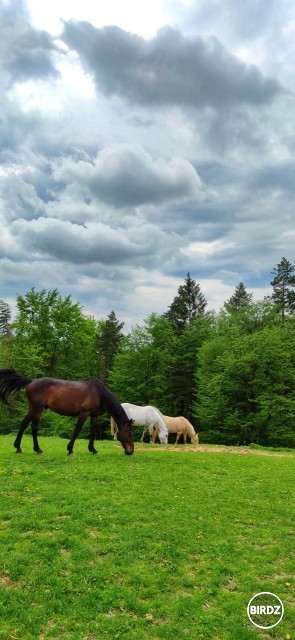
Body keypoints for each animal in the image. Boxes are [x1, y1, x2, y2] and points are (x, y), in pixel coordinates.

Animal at [0, 368, 135, 458]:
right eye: (130, 434)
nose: (130, 451)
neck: (99, 394)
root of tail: (31, 381)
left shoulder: (94, 415)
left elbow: (92, 432)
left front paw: (93, 450)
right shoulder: (84, 413)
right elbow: (77, 430)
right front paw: (70, 450)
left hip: (32, 409)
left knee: (23, 424)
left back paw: (18, 447)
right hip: (38, 409)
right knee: (34, 427)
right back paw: (38, 449)